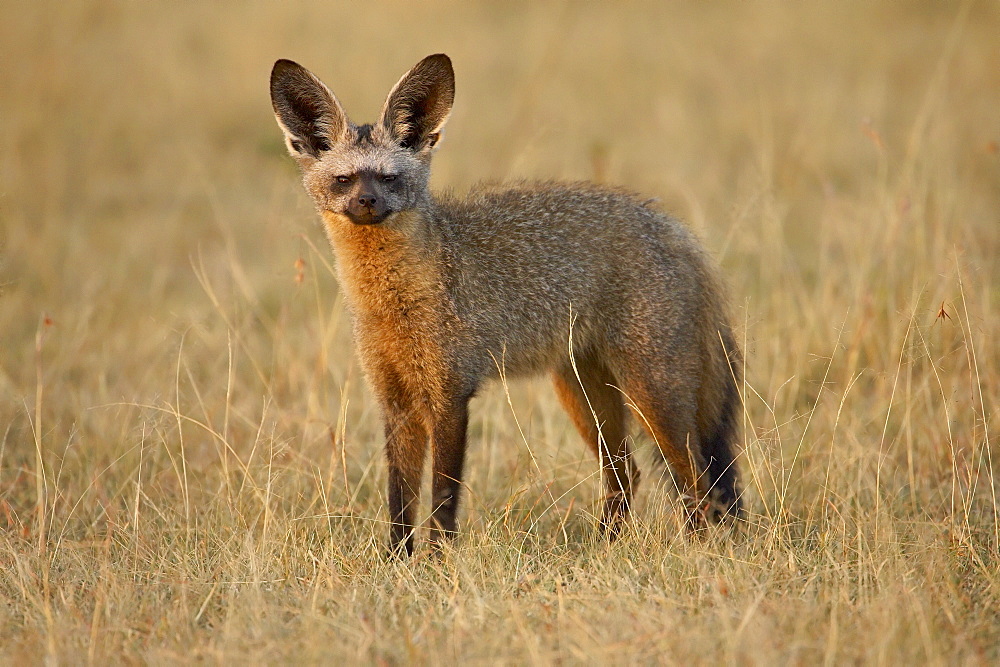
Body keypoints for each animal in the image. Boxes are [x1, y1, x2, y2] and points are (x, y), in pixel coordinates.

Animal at [1, 2, 1000, 664]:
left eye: (393, 178)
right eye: (343, 180)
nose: (366, 207)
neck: (398, 307)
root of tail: (678, 227)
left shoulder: (453, 392)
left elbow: (443, 502)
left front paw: (437, 576)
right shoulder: (395, 400)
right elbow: (397, 503)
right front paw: (395, 571)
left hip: (655, 395)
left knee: (699, 491)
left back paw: (700, 566)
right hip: (584, 394)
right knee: (629, 482)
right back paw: (601, 558)